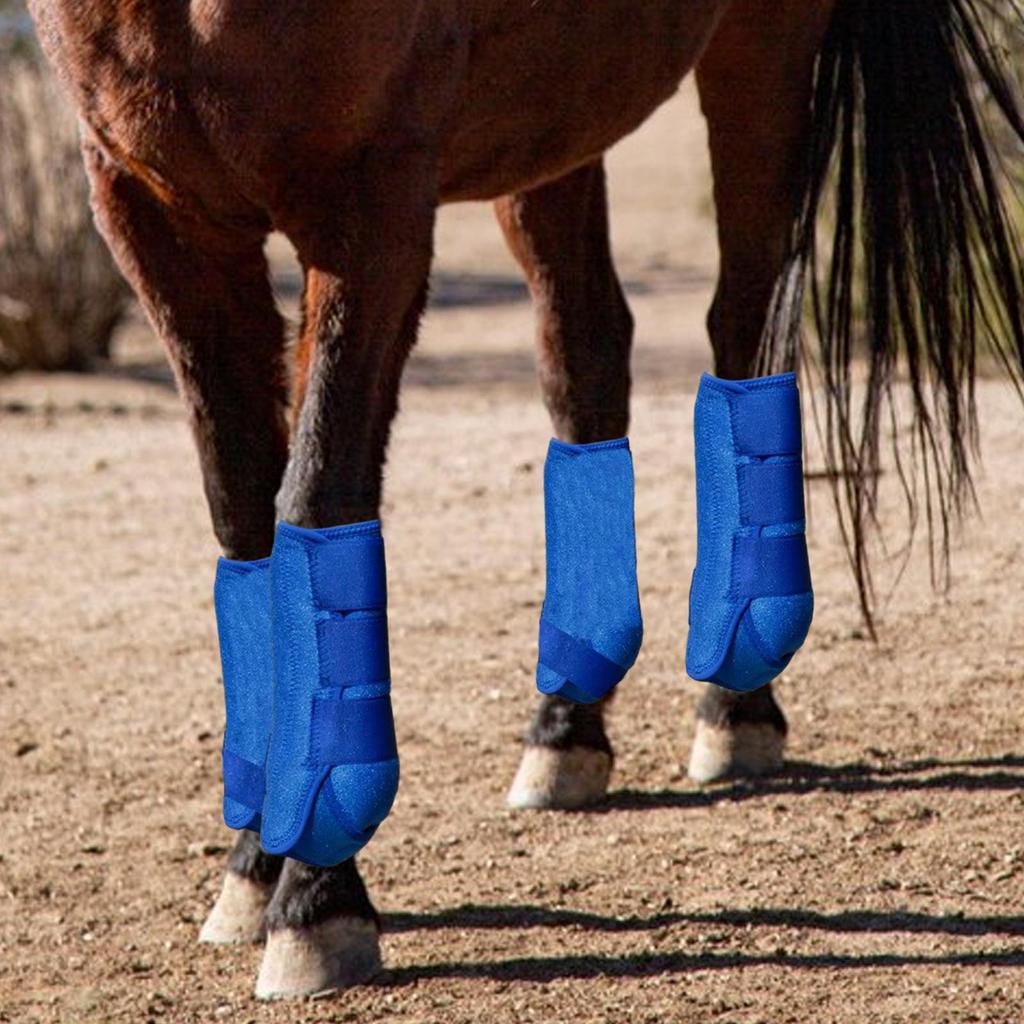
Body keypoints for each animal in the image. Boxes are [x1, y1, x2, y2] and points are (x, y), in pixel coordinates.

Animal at [26, 0, 1024, 998]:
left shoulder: (369, 210)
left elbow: (314, 498)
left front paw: (317, 897)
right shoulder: (152, 211)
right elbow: (242, 515)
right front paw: (255, 862)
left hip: (763, 54)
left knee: (747, 327)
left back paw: (735, 703)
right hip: (554, 125)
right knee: (587, 352)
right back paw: (564, 729)